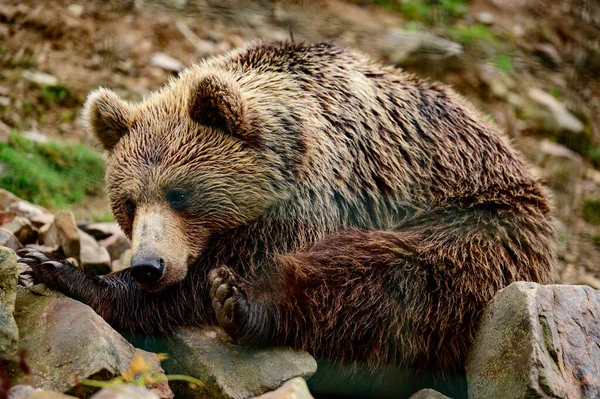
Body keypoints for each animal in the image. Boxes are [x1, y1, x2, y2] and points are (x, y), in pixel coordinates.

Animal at [18, 39, 556, 396]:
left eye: (180, 193)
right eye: (129, 202)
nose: (150, 267)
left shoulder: (327, 189)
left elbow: (246, 261)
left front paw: (63, 269)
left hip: (482, 226)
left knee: (397, 278)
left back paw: (245, 307)